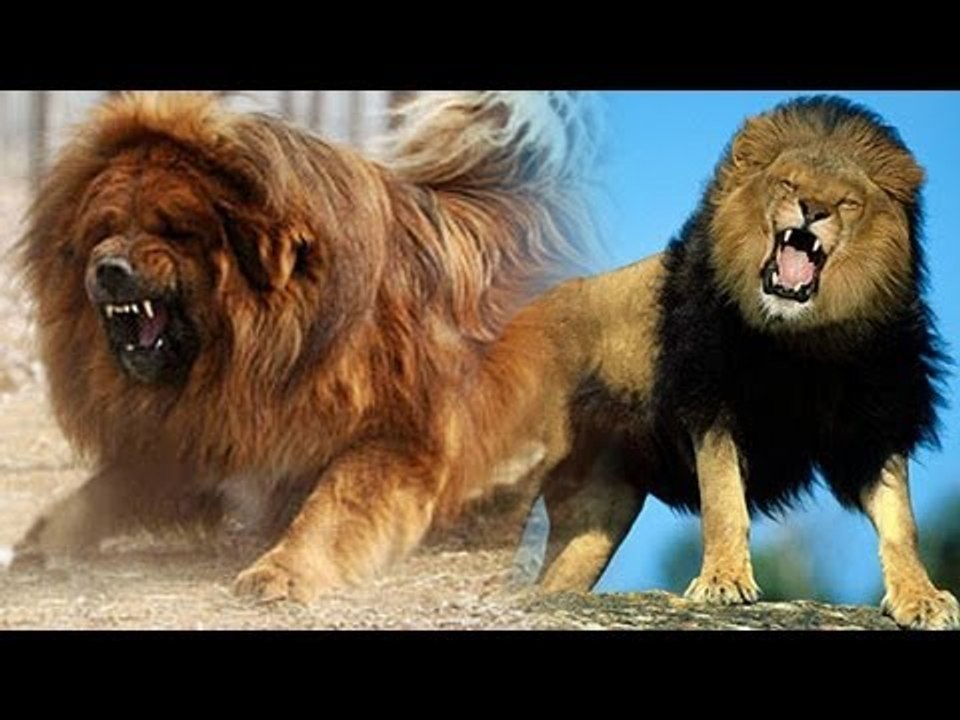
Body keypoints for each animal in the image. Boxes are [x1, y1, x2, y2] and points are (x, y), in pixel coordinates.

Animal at [13, 91, 602, 603]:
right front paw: (38, 540)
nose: (109, 268)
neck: (268, 346)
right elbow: (102, 491)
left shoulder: (396, 436)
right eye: (103, 229)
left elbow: (331, 507)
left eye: (175, 231)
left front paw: (282, 571)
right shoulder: (202, 438)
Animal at [478, 95, 959, 629]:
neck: (802, 340)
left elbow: (901, 522)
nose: (813, 211)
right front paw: (723, 581)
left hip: (597, 514)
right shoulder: (712, 401)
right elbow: (725, 501)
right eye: (788, 184)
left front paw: (921, 597)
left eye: (848, 202)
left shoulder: (874, 426)